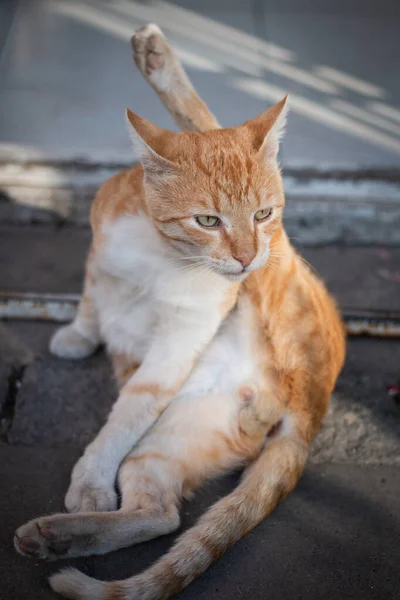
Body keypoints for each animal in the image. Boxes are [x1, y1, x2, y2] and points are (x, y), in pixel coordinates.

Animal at [12, 23, 344, 600]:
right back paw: (58, 537)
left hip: (277, 271)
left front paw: (90, 479)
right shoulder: (100, 254)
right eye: (208, 220)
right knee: (159, 513)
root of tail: (311, 407)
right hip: (171, 440)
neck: (165, 256)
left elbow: (124, 416)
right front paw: (79, 333)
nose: (244, 255)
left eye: (261, 212)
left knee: (204, 116)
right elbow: (90, 299)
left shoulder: (178, 343)